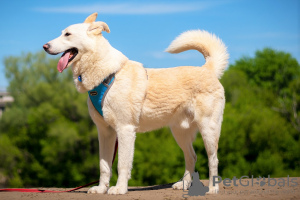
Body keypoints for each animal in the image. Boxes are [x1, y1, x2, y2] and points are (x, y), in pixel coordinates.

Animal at [43, 12, 229, 194]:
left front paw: (119, 189)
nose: (45, 46)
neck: (107, 77)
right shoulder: (104, 132)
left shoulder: (125, 130)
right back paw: (184, 184)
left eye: (67, 34)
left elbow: (122, 164)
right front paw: (101, 188)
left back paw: (212, 189)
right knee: (192, 156)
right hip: (180, 133)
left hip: (208, 129)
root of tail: (208, 69)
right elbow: (104, 165)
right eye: (62, 33)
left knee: (213, 159)